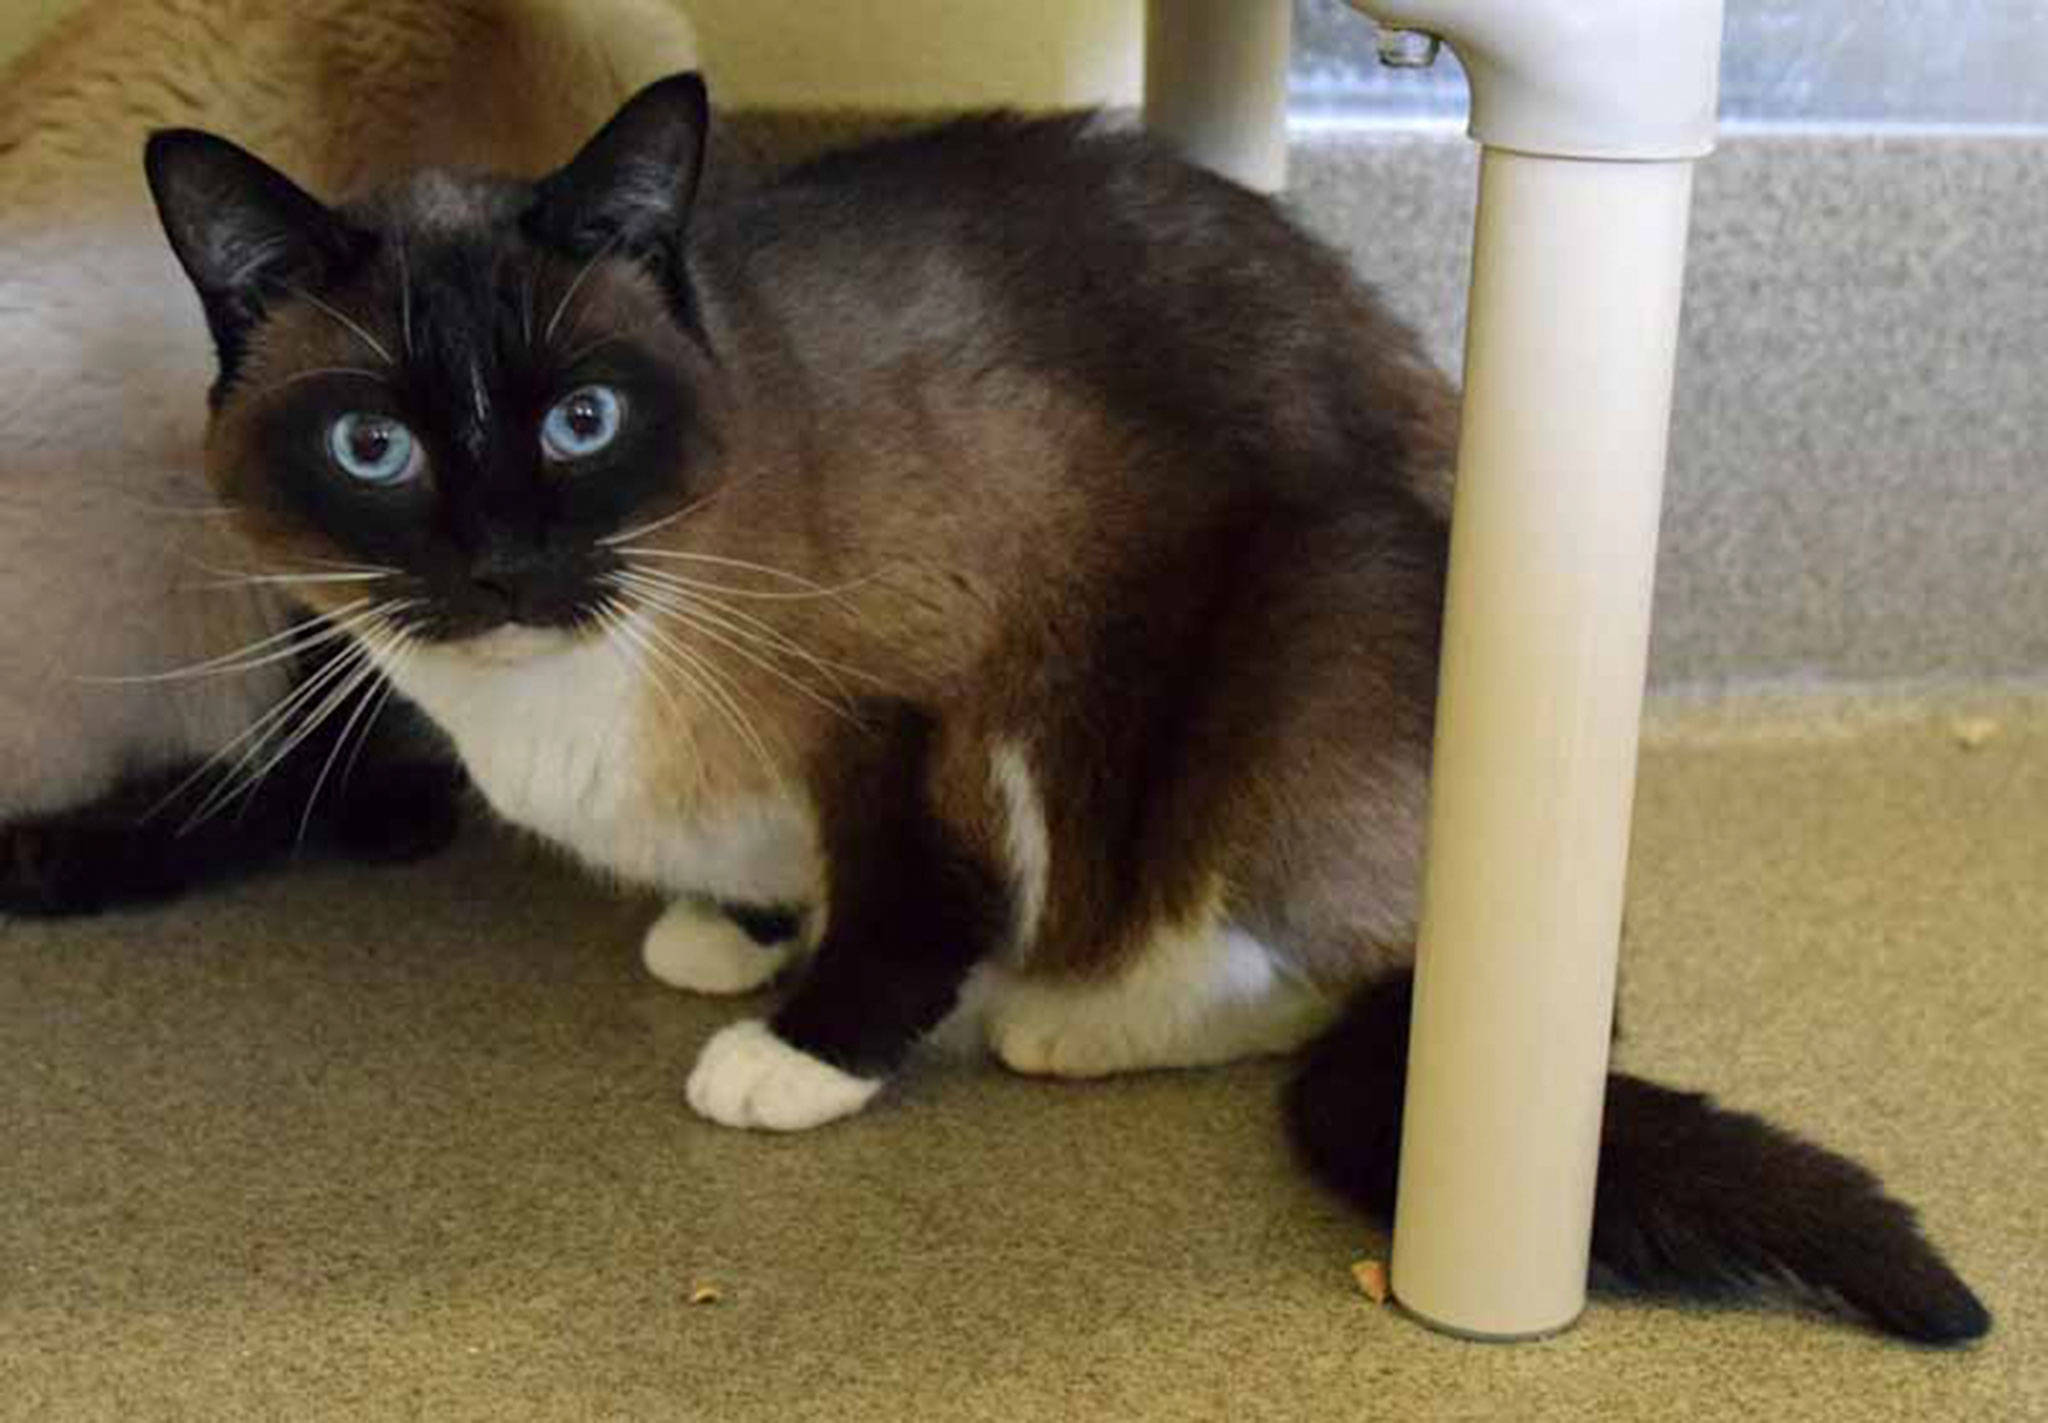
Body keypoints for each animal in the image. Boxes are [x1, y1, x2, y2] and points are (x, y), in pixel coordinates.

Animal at [140, 75, 1982, 1343]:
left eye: (582, 419)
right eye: (374, 447)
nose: (505, 562)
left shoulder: (929, 690)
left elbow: (907, 902)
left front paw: (797, 1050)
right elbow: (784, 880)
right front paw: (729, 933)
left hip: (1297, 640)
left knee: (1295, 967)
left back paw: (1070, 1020)